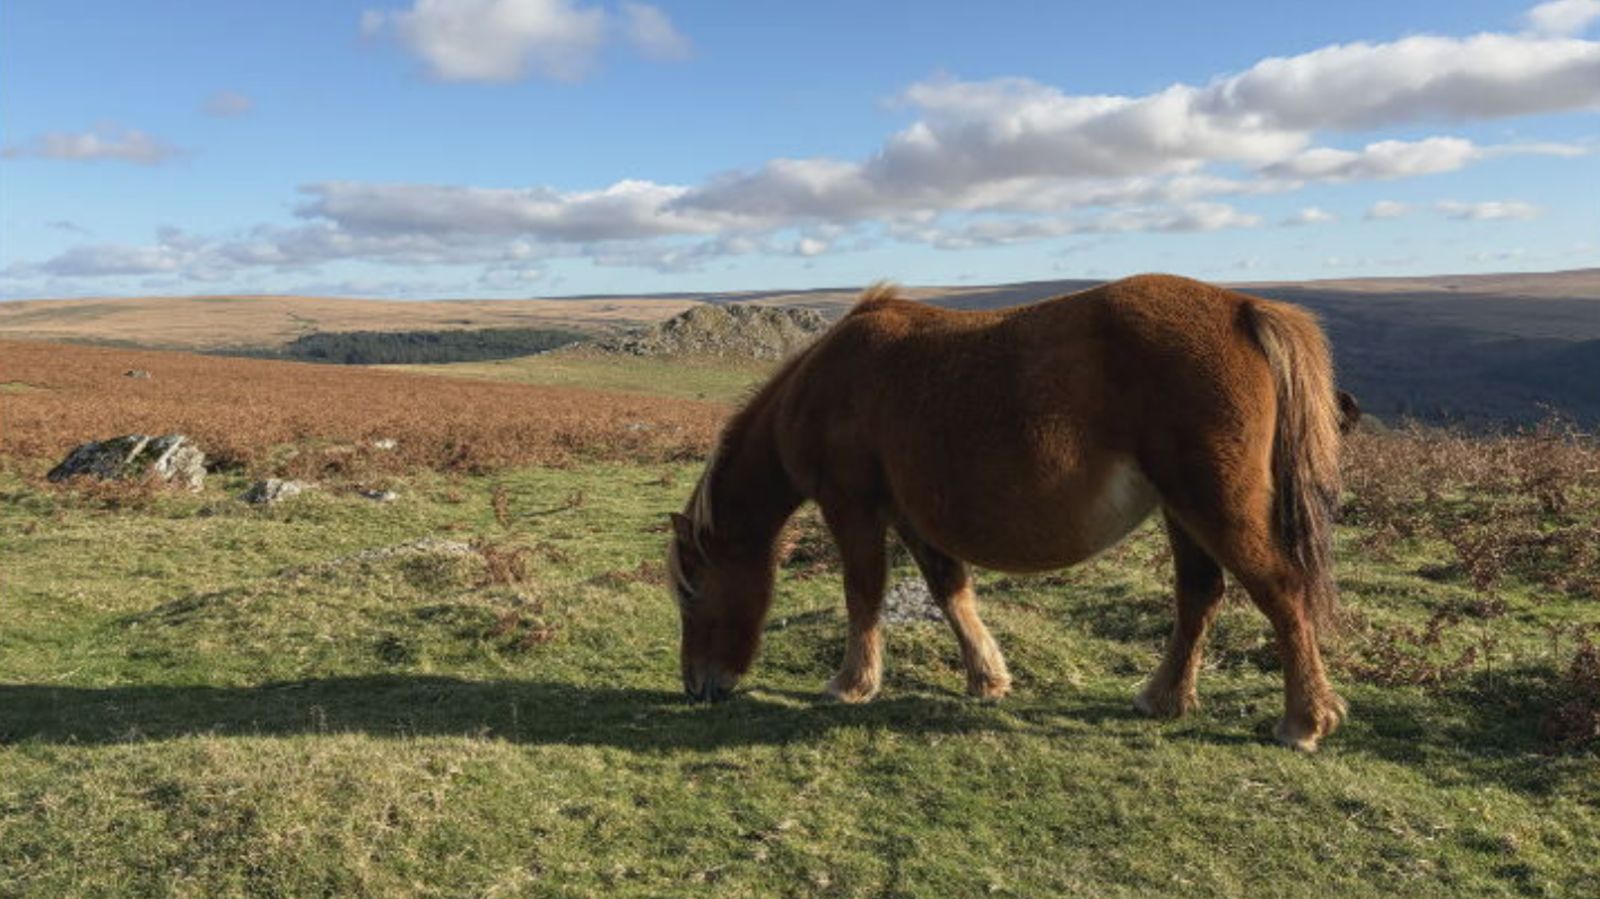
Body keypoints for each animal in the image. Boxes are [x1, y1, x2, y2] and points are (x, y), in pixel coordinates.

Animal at [667, 274, 1349, 751]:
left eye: (693, 589)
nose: (697, 686)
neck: (823, 384)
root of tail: (1240, 309)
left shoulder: (852, 506)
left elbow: (863, 594)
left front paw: (852, 684)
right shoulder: (911, 517)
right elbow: (950, 592)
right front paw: (987, 678)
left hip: (1215, 505)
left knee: (1281, 591)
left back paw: (1304, 720)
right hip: (1183, 511)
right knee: (1199, 595)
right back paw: (1164, 698)